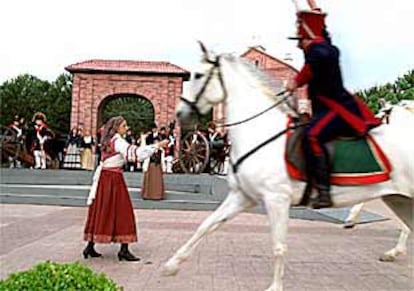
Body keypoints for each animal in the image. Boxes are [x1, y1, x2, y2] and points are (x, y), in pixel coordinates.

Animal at [163, 44, 412, 291]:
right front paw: (172, 264)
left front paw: (275, 286)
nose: (180, 114)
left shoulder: (277, 200)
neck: (260, 130)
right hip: (398, 199)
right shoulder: (242, 196)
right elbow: (206, 225)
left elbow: (279, 246)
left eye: (198, 75)